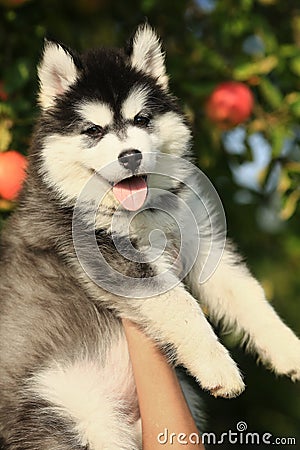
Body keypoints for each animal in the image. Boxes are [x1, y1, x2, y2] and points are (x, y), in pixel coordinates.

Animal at [0, 25, 300, 450]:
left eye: (141, 119)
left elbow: (246, 293)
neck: (140, 211)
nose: (130, 155)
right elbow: (181, 304)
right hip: (74, 415)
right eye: (93, 131)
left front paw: (290, 349)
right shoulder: (107, 254)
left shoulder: (202, 238)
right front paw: (220, 367)